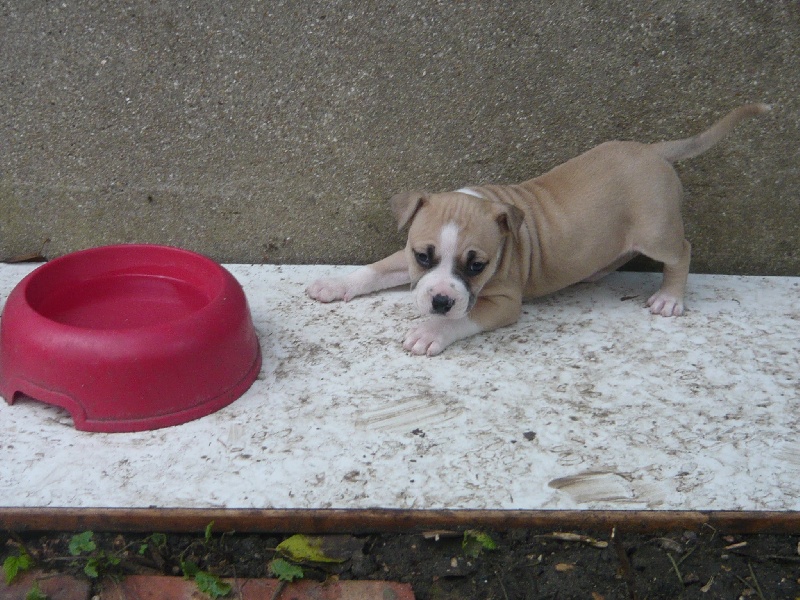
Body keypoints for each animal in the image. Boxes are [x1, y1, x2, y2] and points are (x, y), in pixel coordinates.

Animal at [304, 105, 768, 354]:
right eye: (423, 256)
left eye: (477, 266)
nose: (439, 301)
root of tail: (653, 151)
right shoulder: (406, 254)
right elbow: (375, 269)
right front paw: (334, 284)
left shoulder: (504, 303)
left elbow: (463, 319)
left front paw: (430, 331)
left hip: (658, 232)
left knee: (682, 251)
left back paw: (670, 298)